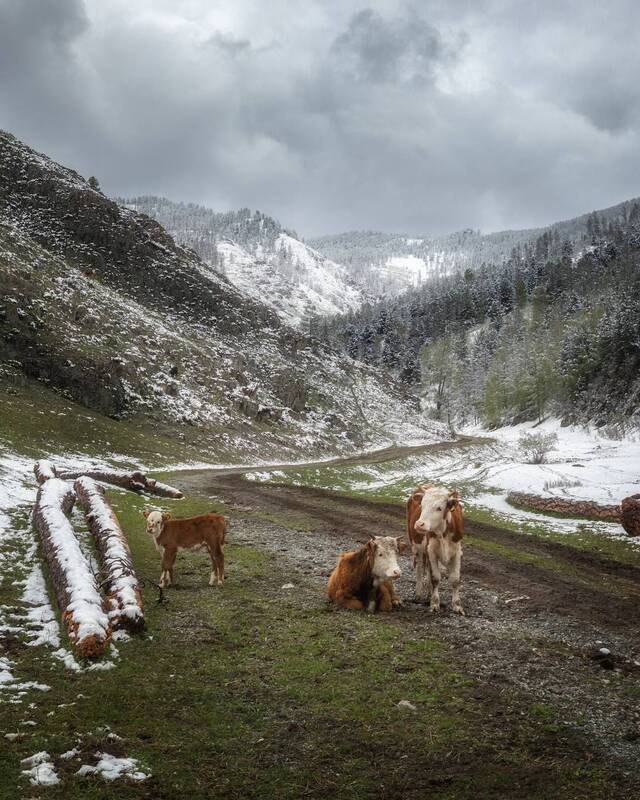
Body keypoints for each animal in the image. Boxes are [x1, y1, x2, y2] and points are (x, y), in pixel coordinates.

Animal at [406, 484, 465, 615]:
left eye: (439, 508)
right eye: (422, 505)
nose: (419, 524)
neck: (443, 531)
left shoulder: (457, 552)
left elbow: (455, 579)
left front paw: (457, 605)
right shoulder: (431, 551)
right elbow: (435, 578)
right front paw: (434, 603)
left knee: (427, 571)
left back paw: (429, 593)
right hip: (416, 546)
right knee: (420, 569)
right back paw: (419, 594)